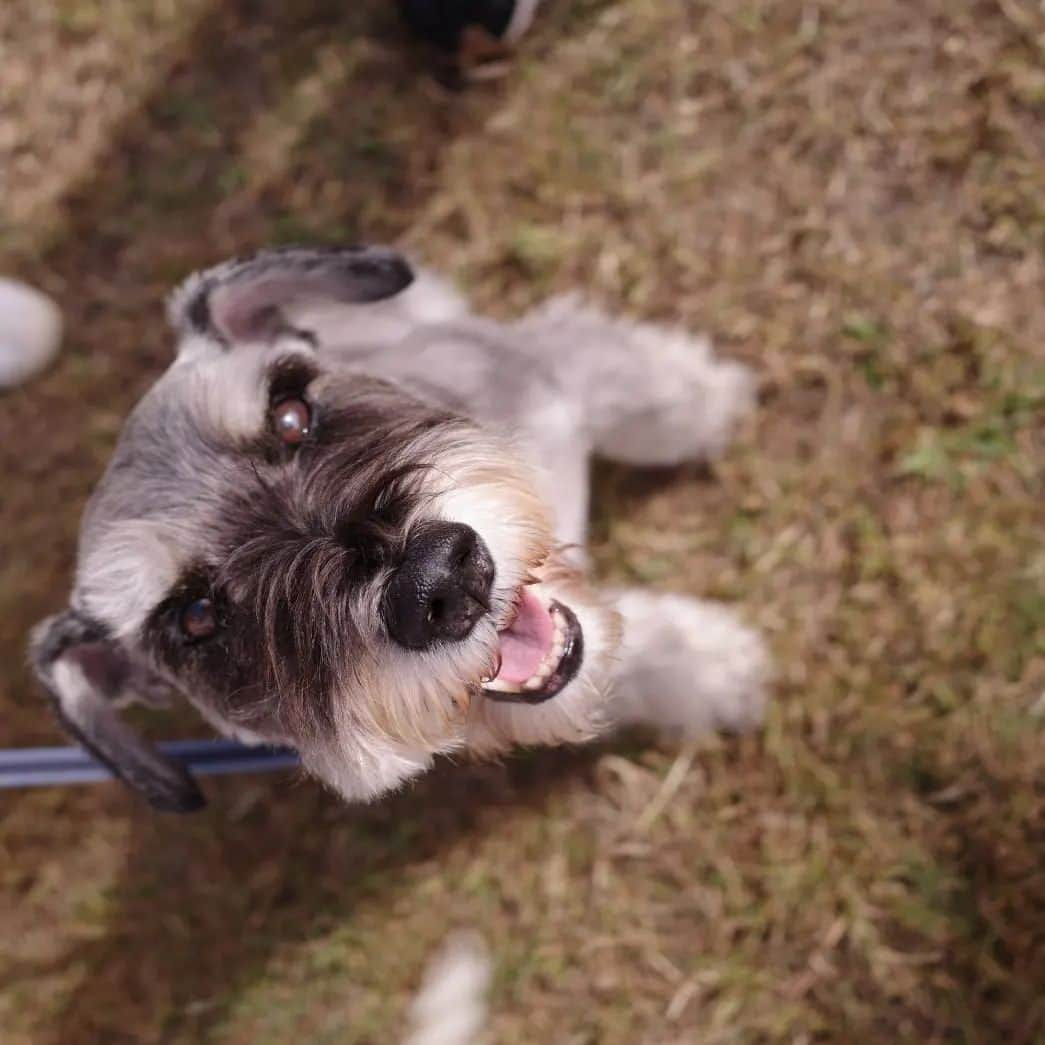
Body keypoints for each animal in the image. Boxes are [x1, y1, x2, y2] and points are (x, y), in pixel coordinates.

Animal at [28, 246, 764, 815]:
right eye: (197, 617)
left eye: (291, 412)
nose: (438, 580)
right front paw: (712, 665)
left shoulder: (530, 371)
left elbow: (618, 375)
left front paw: (705, 396)